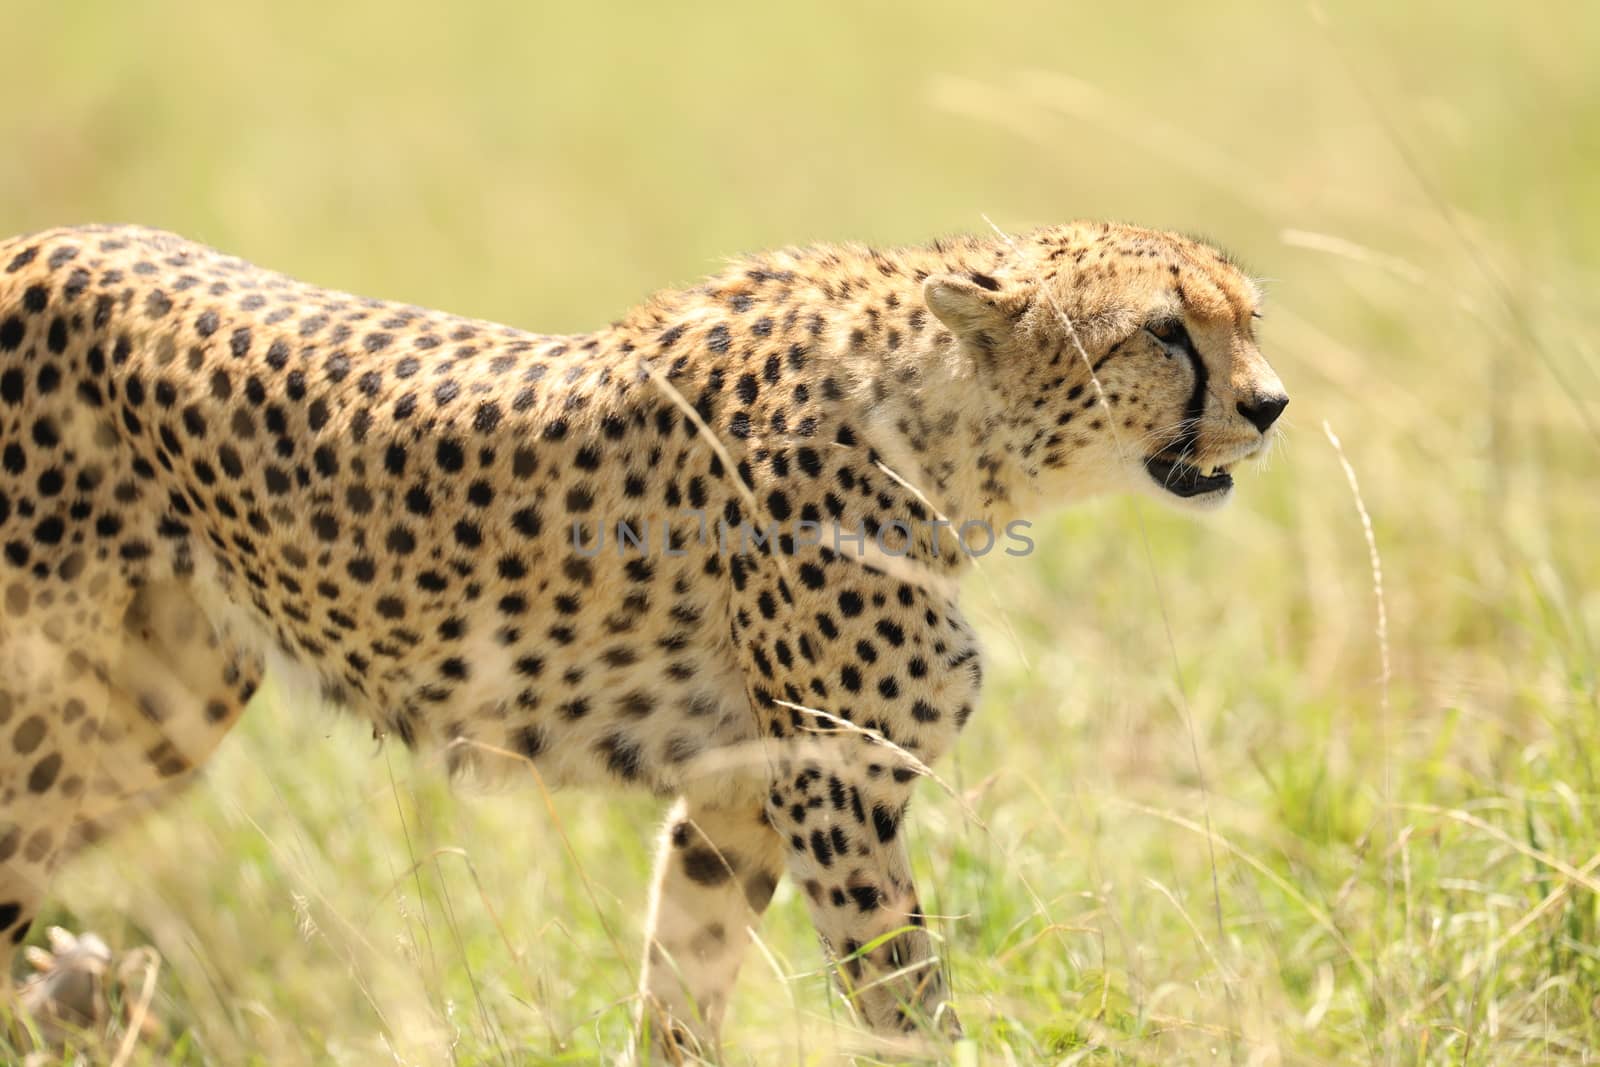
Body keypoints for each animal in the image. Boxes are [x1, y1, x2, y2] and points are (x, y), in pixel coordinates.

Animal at [0, 220, 1286, 1055]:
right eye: (1166, 332)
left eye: (1247, 317)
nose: (1271, 405)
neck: (946, 428)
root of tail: (49, 233)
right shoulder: (833, 783)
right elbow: (905, 999)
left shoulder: (737, 792)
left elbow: (682, 983)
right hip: (49, 708)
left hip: (154, 716)